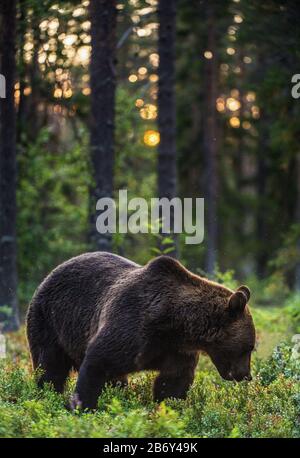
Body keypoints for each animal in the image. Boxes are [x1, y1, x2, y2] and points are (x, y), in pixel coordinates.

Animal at [26, 252, 255, 410]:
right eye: (249, 347)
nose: (246, 375)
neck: (175, 324)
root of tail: (50, 274)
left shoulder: (176, 350)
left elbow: (173, 381)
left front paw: (168, 408)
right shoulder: (131, 326)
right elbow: (98, 362)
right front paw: (82, 406)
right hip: (49, 320)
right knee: (50, 366)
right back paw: (47, 394)